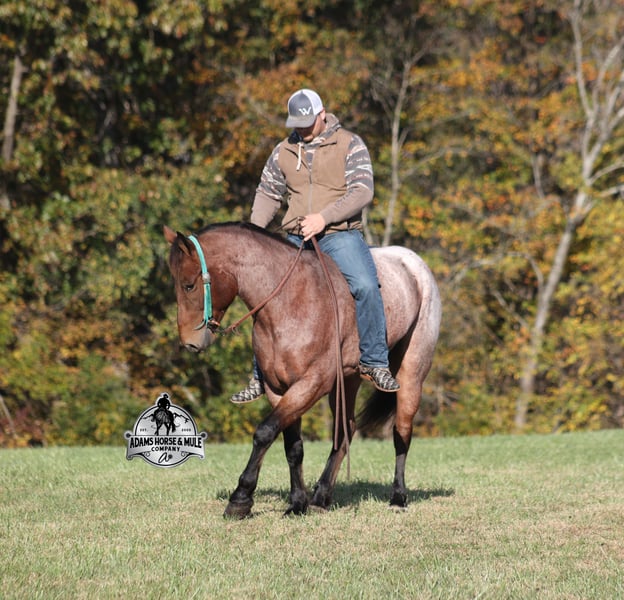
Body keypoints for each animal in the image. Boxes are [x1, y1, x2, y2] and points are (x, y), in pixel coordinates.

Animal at [164, 222, 441, 518]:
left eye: (189, 285)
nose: (190, 343)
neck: (289, 301)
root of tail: (414, 263)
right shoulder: (278, 389)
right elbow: (292, 446)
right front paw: (298, 502)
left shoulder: (311, 383)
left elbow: (264, 433)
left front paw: (240, 499)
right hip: (348, 380)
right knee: (346, 430)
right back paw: (321, 497)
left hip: (411, 373)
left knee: (402, 431)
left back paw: (398, 497)